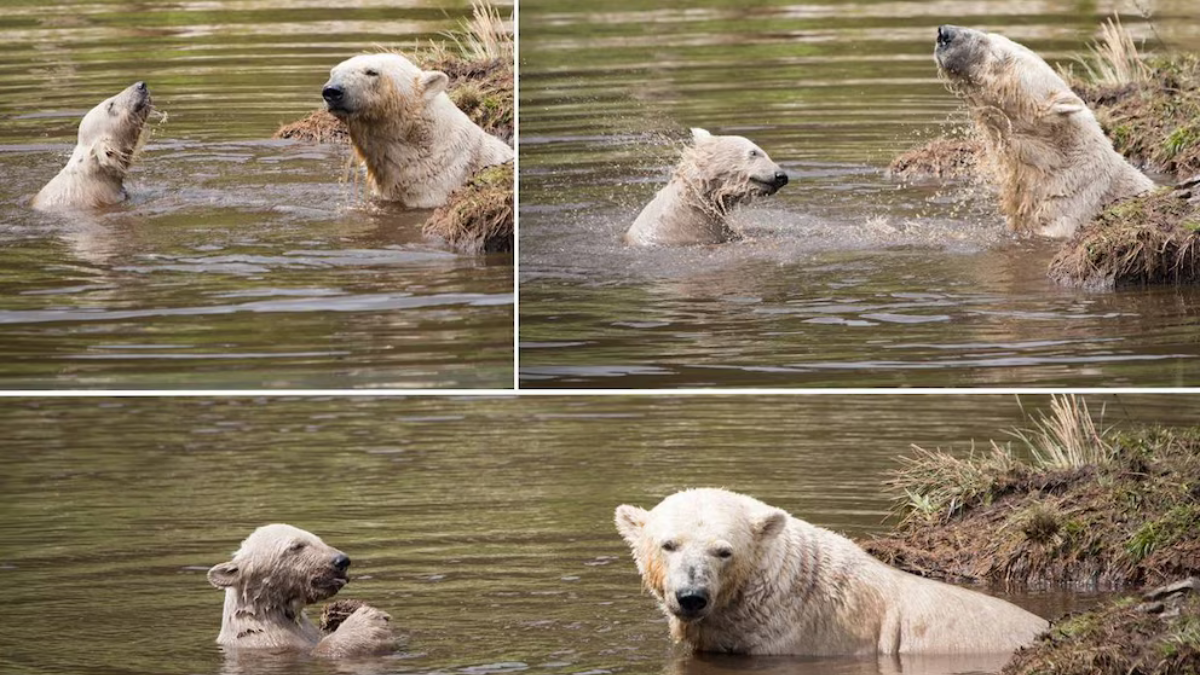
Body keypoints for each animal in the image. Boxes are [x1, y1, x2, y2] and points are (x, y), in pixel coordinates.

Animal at [207, 524, 395, 657]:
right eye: (297, 545)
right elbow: (320, 651)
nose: (342, 561)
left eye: (318, 539)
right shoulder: (267, 641)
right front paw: (366, 622)